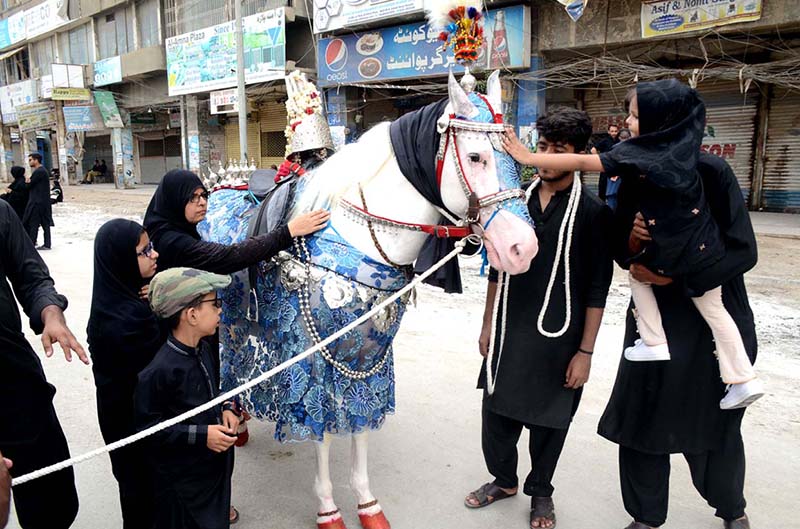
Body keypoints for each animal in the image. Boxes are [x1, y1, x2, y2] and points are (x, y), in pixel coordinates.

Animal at [200, 71, 536, 528]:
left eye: (515, 157)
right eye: (476, 157)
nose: (523, 247)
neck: (356, 237)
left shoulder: (365, 360)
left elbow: (360, 425)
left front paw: (367, 503)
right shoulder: (315, 364)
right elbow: (322, 432)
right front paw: (328, 509)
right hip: (223, 328)